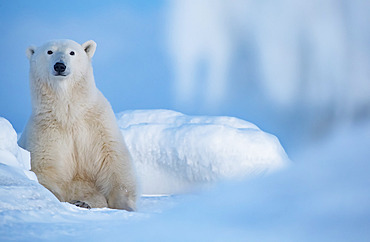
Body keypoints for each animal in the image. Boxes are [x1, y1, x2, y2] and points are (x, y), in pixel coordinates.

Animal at [19, 39, 137, 210]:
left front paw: (125, 205)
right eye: (49, 51)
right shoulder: (46, 131)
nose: (60, 66)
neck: (69, 113)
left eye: (72, 52)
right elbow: (47, 169)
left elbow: (113, 162)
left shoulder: (98, 125)